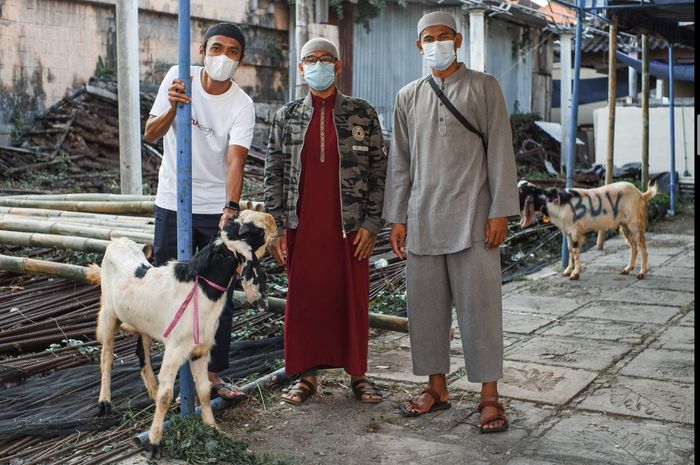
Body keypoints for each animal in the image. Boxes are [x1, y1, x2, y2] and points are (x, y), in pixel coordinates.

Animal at [85, 210, 276, 456]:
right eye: (256, 230)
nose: (276, 224)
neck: (200, 288)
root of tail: (118, 241)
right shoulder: (175, 348)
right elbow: (166, 396)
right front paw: (154, 443)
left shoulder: (201, 350)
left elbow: (204, 390)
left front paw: (213, 428)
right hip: (109, 313)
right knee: (107, 356)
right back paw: (104, 403)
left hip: (143, 323)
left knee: (142, 354)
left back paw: (151, 390)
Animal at [516, 180, 660, 280]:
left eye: (521, 191)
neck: (558, 203)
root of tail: (641, 194)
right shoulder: (568, 232)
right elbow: (570, 250)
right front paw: (568, 270)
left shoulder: (575, 231)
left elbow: (575, 250)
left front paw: (575, 274)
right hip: (625, 226)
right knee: (634, 247)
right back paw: (627, 269)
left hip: (634, 224)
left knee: (642, 248)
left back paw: (641, 273)